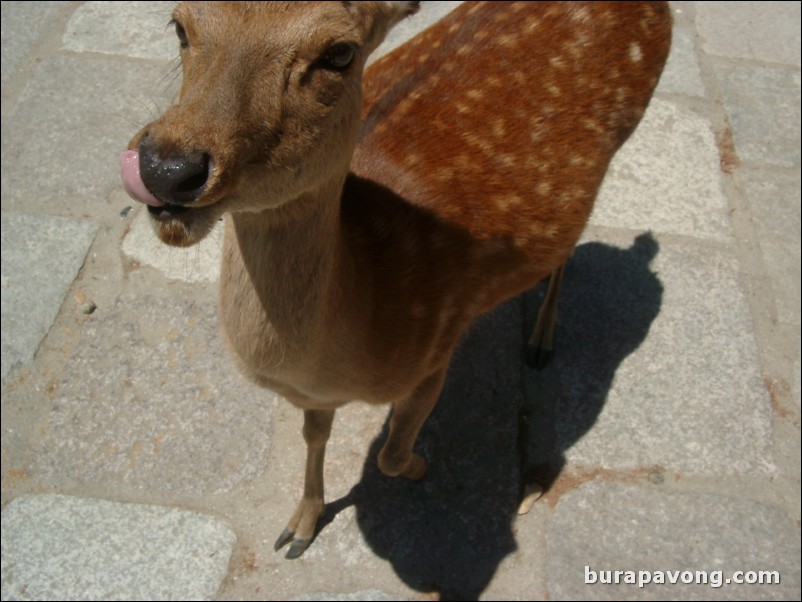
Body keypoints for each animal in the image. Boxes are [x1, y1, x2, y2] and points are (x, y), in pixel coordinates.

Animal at [117, 1, 668, 556]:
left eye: (340, 52)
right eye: (179, 25)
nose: (167, 168)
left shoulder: (433, 352)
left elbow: (390, 456)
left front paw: (423, 467)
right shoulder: (318, 396)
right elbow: (314, 435)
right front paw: (300, 526)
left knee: (573, 241)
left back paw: (540, 341)